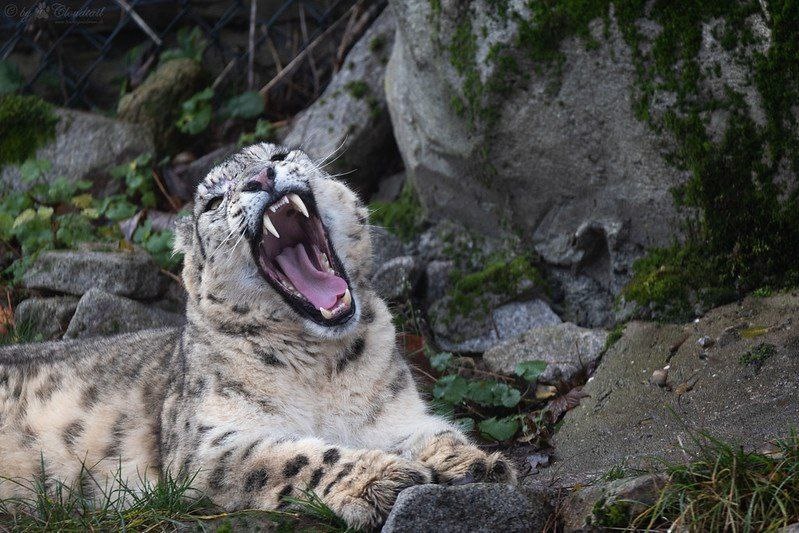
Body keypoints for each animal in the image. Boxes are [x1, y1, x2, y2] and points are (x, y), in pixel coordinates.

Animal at [0, 143, 516, 530]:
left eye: (280, 154)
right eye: (212, 201)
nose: (262, 178)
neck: (322, 366)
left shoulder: (393, 413)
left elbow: (430, 430)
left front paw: (477, 463)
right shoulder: (209, 444)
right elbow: (296, 457)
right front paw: (382, 479)